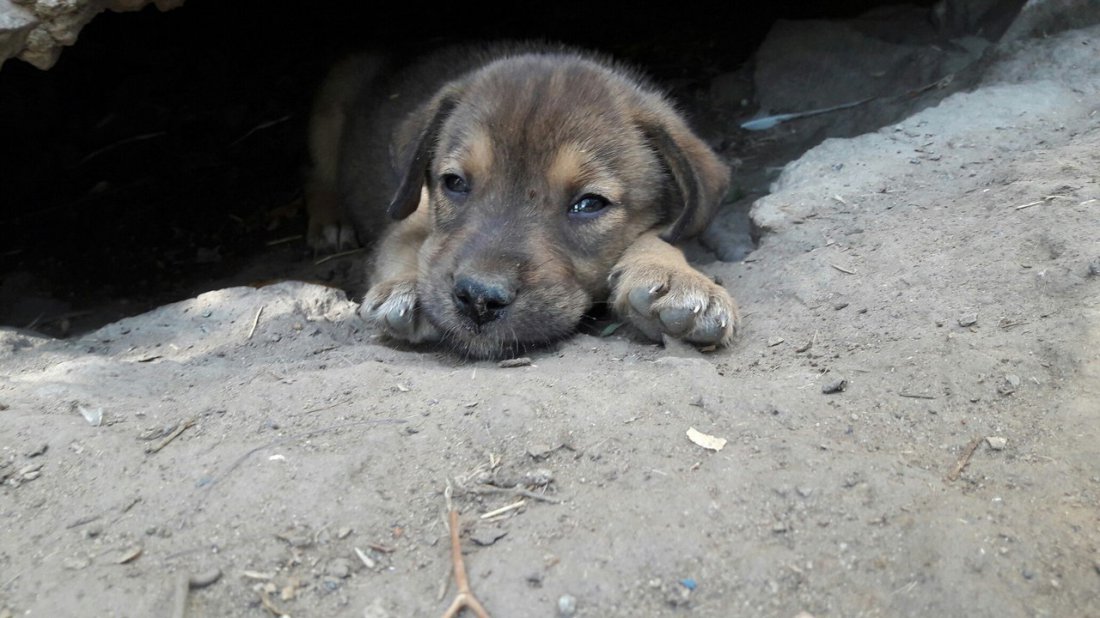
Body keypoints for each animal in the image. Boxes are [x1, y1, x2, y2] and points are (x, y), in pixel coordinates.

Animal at [305, 43, 743, 356]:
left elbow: (659, 238)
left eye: (589, 204)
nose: (478, 300)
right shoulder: (409, 216)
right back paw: (329, 222)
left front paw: (675, 278)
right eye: (454, 182)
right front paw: (404, 287)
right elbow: (412, 246)